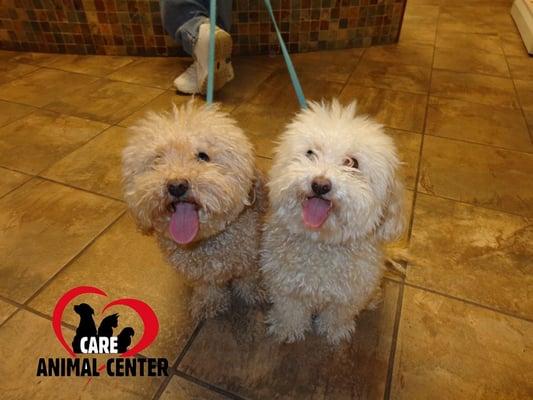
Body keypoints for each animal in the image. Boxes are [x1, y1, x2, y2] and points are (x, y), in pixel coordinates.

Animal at [124, 101, 266, 320]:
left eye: (203, 156)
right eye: (158, 160)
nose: (176, 186)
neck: (205, 243)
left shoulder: (250, 257)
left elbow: (249, 278)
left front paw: (256, 291)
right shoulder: (200, 274)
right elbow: (208, 287)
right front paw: (210, 302)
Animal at [258, 99, 404, 344]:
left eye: (351, 162)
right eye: (310, 153)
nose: (320, 185)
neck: (321, 244)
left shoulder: (348, 295)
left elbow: (338, 315)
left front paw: (335, 332)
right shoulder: (285, 285)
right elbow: (290, 311)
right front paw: (288, 330)